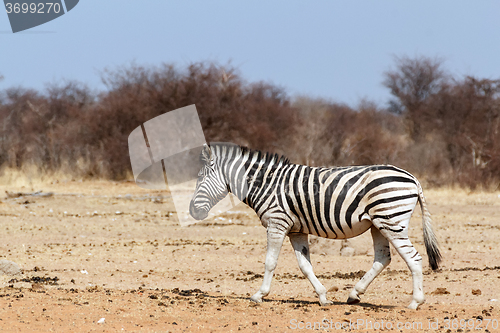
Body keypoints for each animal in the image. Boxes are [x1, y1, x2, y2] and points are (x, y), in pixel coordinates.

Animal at [188, 143, 442, 308]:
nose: (192, 211)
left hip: (391, 220)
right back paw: (354, 295)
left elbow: (270, 262)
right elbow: (305, 266)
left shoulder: (277, 223)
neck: (266, 184)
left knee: (413, 258)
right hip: (377, 224)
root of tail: (412, 177)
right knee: (383, 258)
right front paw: (323, 297)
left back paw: (415, 302)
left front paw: (259, 295)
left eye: (200, 178)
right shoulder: (296, 230)